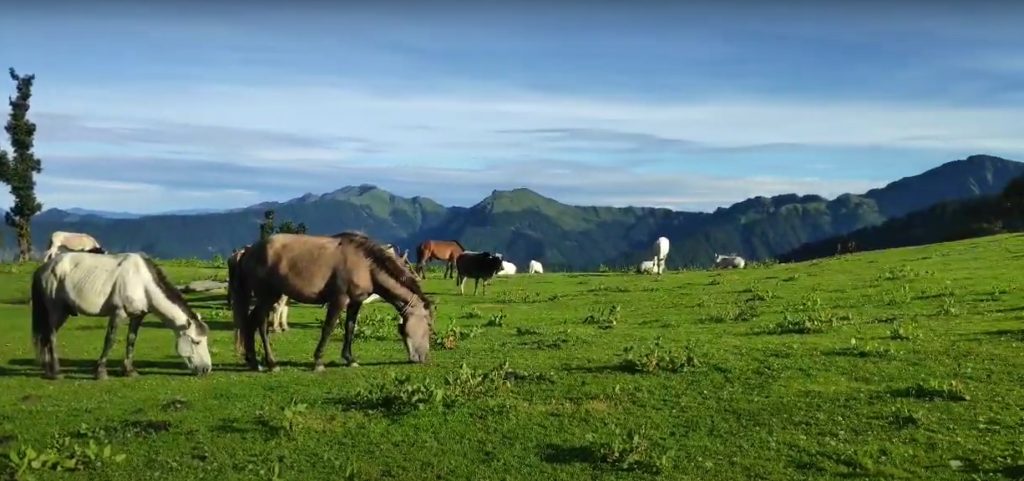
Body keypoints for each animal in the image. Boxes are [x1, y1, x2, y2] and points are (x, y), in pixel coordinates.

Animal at [29, 251, 210, 378]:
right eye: (197, 342)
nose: (206, 369)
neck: (143, 283)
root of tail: (44, 268)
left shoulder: (137, 316)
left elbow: (131, 340)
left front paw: (129, 371)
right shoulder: (118, 314)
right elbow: (110, 340)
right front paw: (101, 372)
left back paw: (48, 369)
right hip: (56, 311)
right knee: (51, 336)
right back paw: (55, 372)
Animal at [230, 231, 434, 370]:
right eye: (428, 326)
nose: (423, 357)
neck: (365, 264)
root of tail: (247, 251)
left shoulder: (355, 302)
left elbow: (350, 328)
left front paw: (350, 359)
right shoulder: (338, 300)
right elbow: (328, 328)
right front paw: (318, 361)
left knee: (252, 323)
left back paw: (255, 361)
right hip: (267, 296)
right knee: (259, 323)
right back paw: (268, 363)